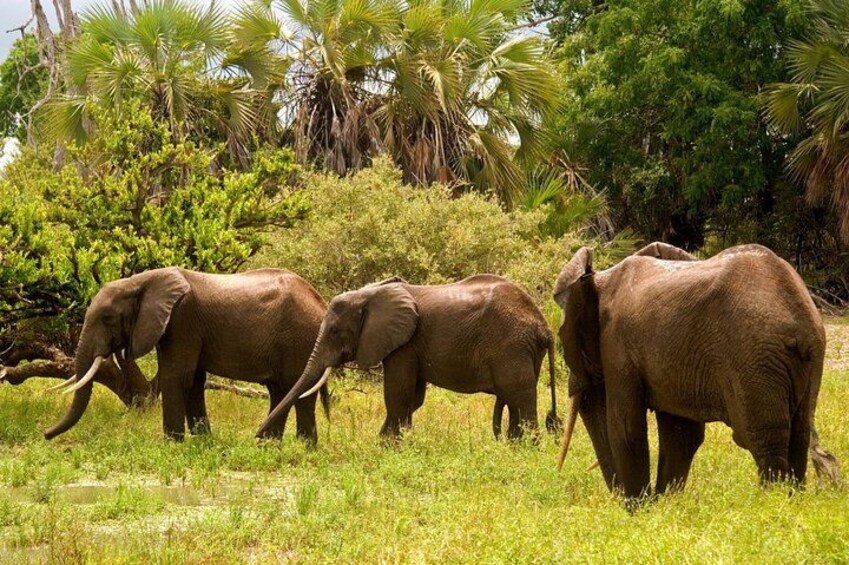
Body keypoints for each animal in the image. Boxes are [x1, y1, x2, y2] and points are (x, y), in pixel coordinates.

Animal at [44, 267, 329, 442]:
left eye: (107, 318)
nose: (45, 434)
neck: (142, 281)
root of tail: (320, 300)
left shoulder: (182, 320)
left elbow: (177, 376)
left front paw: (172, 443)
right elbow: (194, 381)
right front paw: (203, 441)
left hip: (300, 337)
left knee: (298, 390)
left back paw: (301, 446)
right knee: (279, 390)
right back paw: (268, 444)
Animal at [256, 275, 560, 440]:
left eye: (335, 331)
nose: (256, 437)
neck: (371, 293)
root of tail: (543, 326)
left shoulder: (404, 344)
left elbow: (397, 392)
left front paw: (385, 445)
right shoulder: (410, 344)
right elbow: (413, 396)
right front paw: (395, 441)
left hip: (512, 345)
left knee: (519, 394)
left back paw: (526, 449)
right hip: (523, 350)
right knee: (514, 397)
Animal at [555, 242, 837, 502]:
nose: (619, 498)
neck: (599, 278)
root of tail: (799, 316)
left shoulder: (617, 344)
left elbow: (625, 429)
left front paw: (639, 511)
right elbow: (681, 435)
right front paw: (665, 507)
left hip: (754, 357)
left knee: (762, 439)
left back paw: (773, 503)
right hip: (806, 359)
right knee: (799, 435)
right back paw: (791, 502)